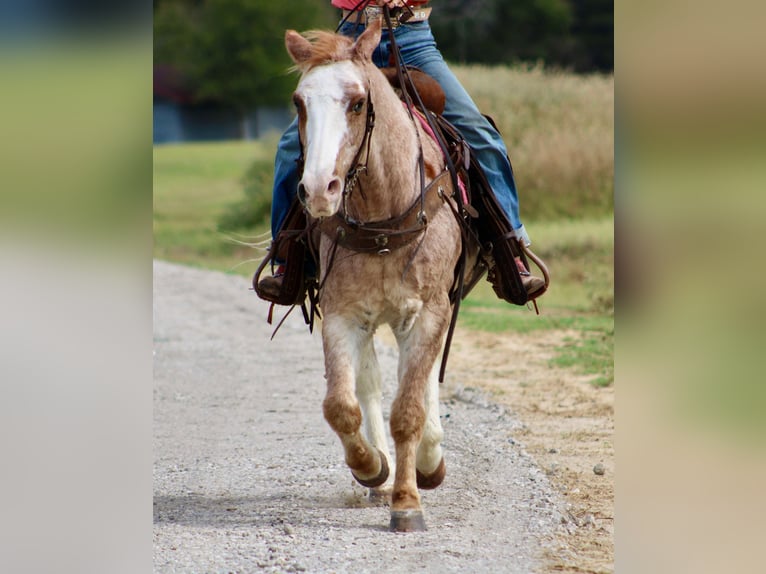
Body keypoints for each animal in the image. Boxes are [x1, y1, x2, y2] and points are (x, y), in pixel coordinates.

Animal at [284, 21, 464, 536]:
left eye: (357, 102)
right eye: (299, 103)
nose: (317, 189)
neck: (384, 215)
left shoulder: (428, 313)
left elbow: (408, 409)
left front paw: (407, 500)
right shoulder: (343, 315)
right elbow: (340, 406)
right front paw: (371, 467)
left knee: (420, 381)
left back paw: (428, 462)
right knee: (369, 385)